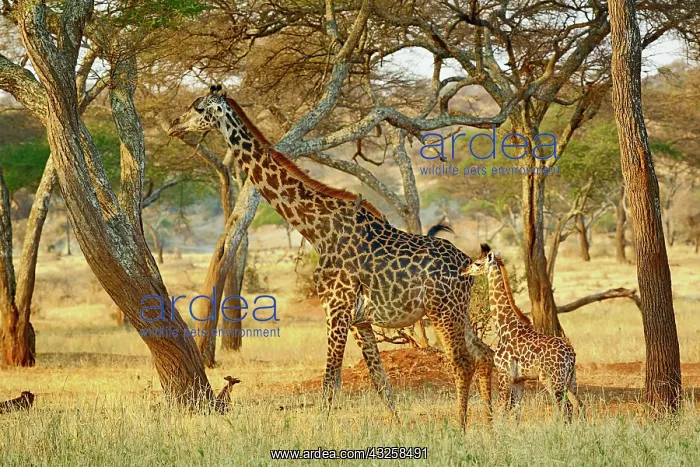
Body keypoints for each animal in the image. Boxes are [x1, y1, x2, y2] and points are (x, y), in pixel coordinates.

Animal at [168, 85, 494, 427]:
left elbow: (330, 382)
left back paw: (461, 426)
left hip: (442, 311)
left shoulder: (336, 309)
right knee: (485, 353)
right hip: (459, 311)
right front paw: (397, 426)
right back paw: (490, 422)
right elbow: (380, 381)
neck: (316, 229)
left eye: (198, 107)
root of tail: (468, 267)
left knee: (462, 362)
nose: (173, 124)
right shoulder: (360, 319)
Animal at [460, 244, 582, 421]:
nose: (464, 271)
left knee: (567, 408)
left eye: (477, 263)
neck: (504, 326)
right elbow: (516, 412)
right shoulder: (519, 380)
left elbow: (501, 409)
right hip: (571, 379)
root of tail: (571, 354)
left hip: (553, 380)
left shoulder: (504, 374)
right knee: (580, 405)